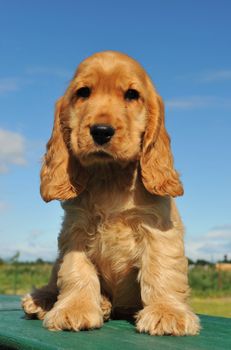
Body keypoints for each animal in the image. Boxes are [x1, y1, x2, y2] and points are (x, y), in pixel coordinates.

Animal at [22, 50, 200, 334]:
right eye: (83, 92)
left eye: (132, 94)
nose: (101, 131)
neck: (111, 177)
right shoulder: (76, 230)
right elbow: (75, 271)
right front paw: (75, 309)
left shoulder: (158, 228)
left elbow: (161, 269)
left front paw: (167, 313)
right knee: (54, 277)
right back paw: (43, 300)